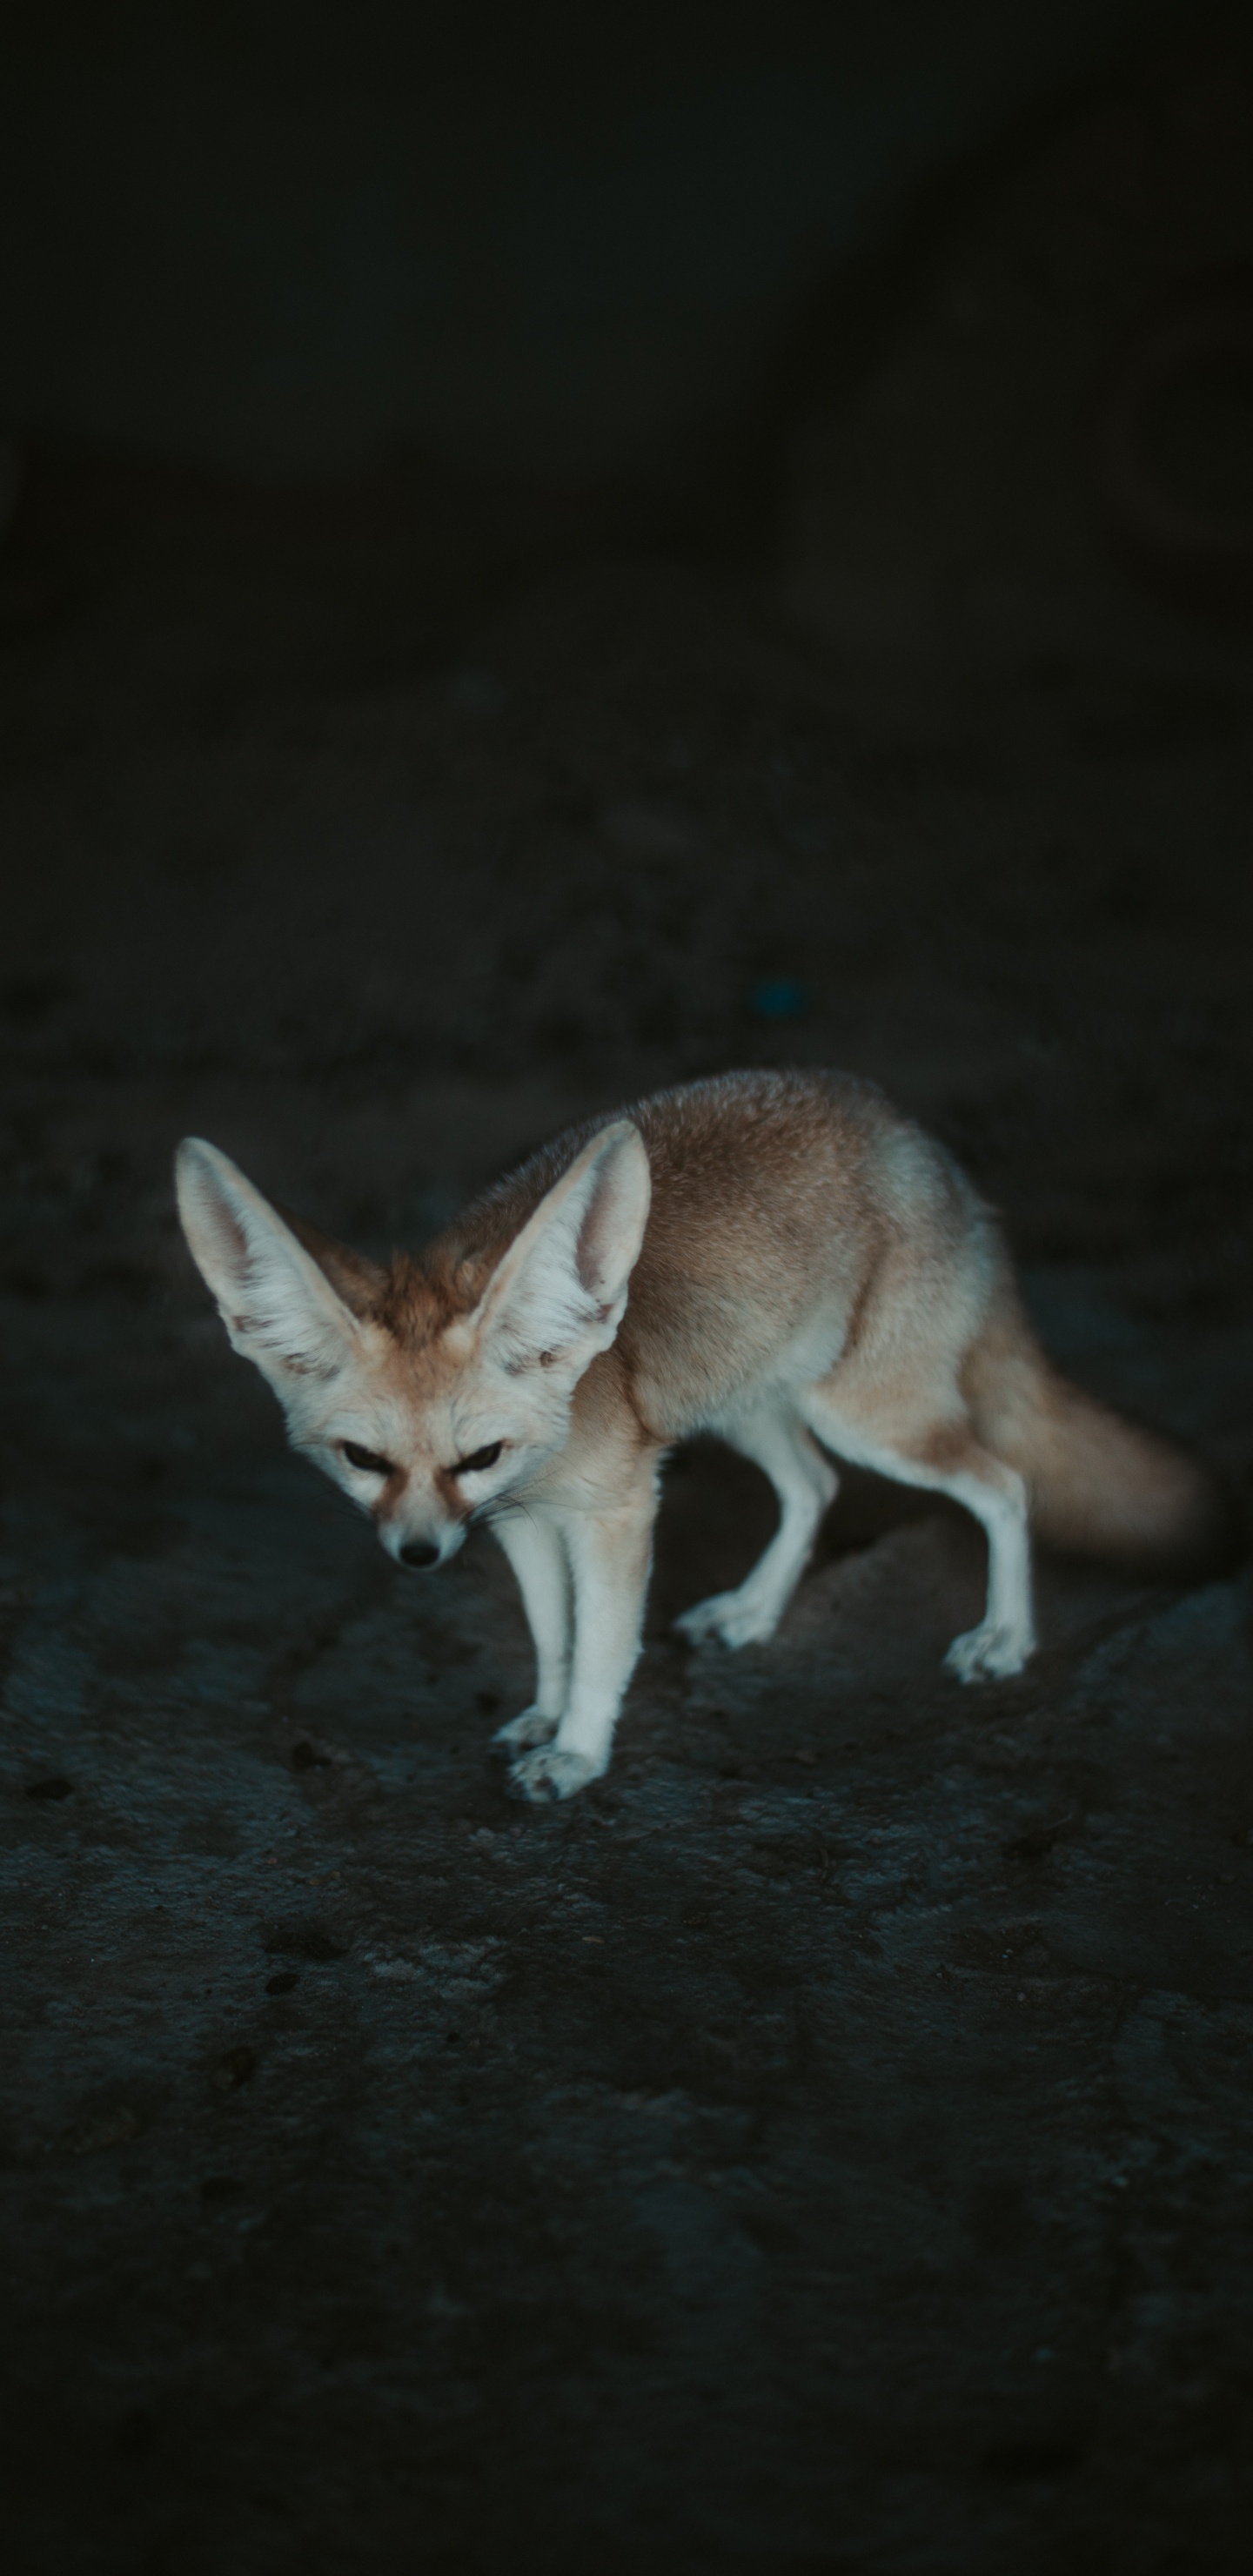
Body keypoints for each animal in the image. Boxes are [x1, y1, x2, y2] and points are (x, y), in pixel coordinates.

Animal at [175, 1068, 1234, 1802]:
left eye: (479, 1455)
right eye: (364, 1461)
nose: (419, 1556)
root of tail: (924, 1146)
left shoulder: (613, 1511)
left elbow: (603, 1645)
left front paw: (579, 1751)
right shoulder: (521, 1521)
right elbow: (552, 1635)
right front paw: (544, 1716)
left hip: (868, 1417)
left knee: (1005, 1484)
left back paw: (1006, 1636)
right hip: (756, 1407)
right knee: (815, 1488)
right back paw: (754, 1611)